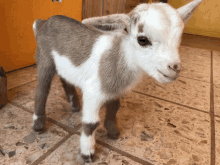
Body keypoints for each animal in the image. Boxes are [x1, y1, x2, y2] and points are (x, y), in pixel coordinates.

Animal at [32, 0, 203, 162]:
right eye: (142, 40)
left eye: (179, 39)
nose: (174, 69)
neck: (117, 57)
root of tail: (42, 22)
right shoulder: (92, 93)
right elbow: (91, 124)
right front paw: (87, 153)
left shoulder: (115, 91)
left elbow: (114, 109)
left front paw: (113, 133)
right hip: (44, 58)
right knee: (42, 89)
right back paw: (38, 125)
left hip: (61, 65)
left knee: (65, 79)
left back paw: (74, 106)